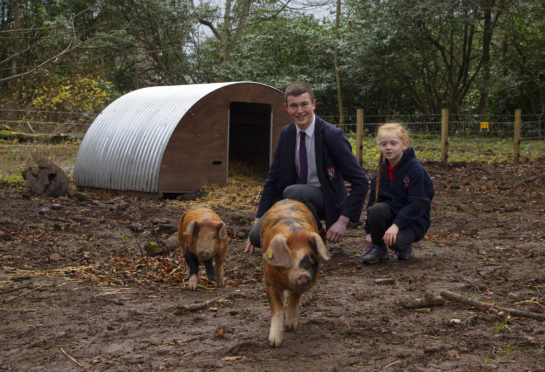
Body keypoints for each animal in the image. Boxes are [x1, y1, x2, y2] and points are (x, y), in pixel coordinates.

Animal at [260, 199, 332, 348]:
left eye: (311, 255)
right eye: (289, 256)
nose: (303, 275)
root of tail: (287, 199)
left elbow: (294, 298)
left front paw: (291, 327)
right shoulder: (270, 282)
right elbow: (278, 308)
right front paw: (273, 343)